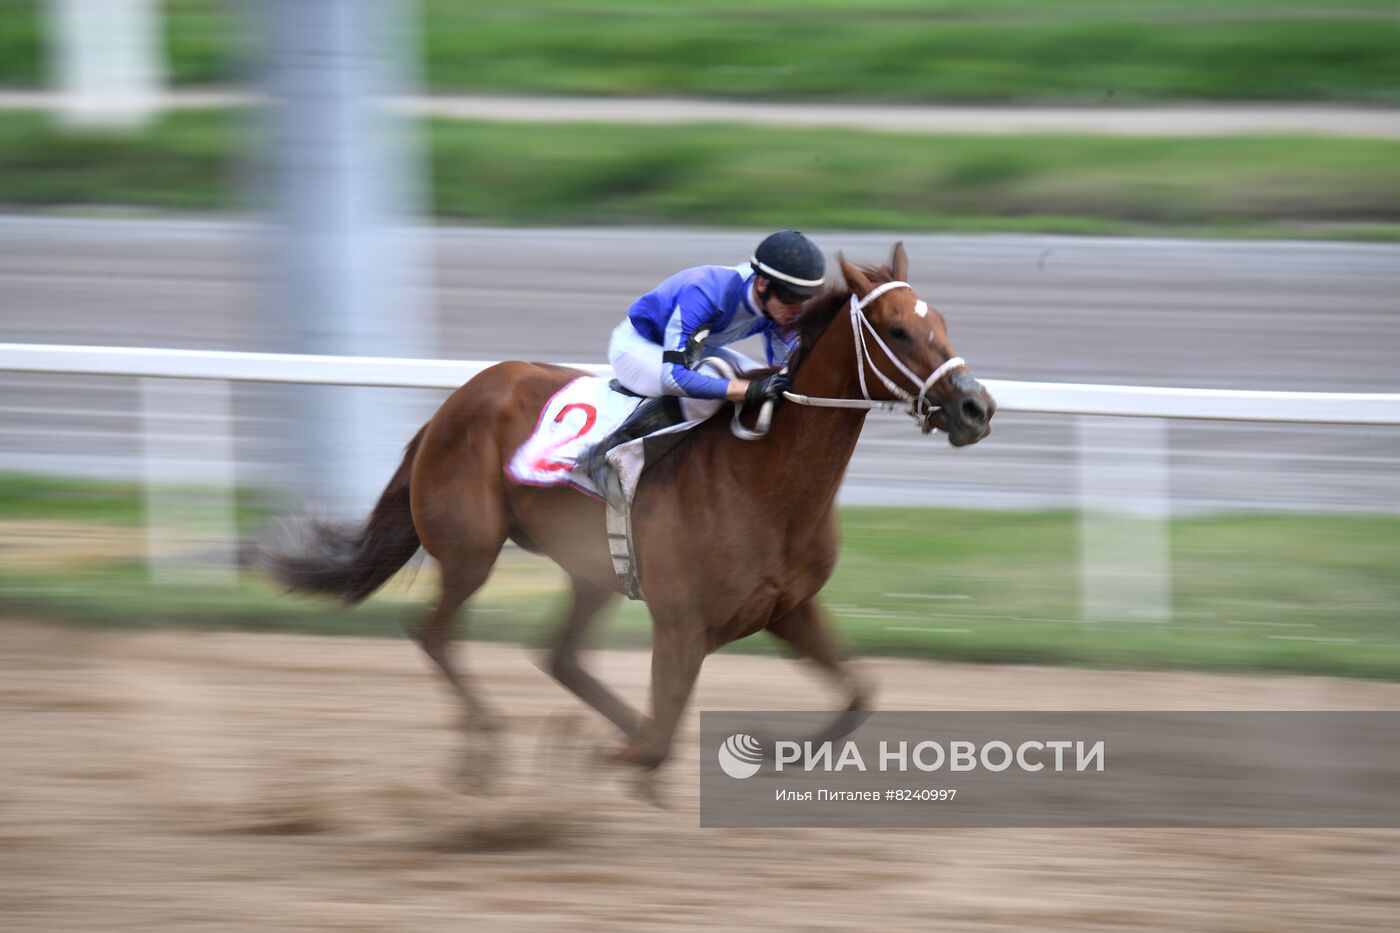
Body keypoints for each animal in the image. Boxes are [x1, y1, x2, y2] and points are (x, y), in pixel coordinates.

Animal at [267, 243, 996, 773]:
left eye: (942, 324)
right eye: (899, 331)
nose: (976, 406)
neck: (768, 481)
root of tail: (456, 401)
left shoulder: (788, 608)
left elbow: (858, 692)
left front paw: (773, 750)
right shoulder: (681, 624)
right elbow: (653, 743)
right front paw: (592, 754)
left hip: (590, 569)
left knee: (559, 656)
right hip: (471, 548)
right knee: (435, 633)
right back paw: (487, 743)